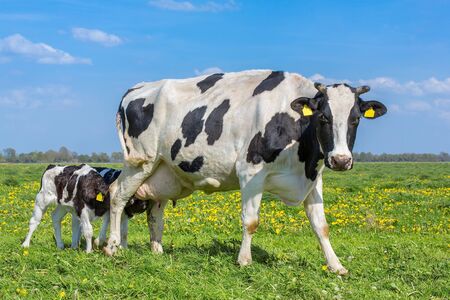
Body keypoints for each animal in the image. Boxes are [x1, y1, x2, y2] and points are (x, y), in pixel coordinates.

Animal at [104, 69, 386, 274]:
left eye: (355, 119)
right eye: (324, 118)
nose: (340, 160)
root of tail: (137, 88)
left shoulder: (313, 179)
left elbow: (321, 226)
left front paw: (336, 265)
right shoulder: (251, 172)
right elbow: (250, 221)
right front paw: (244, 260)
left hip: (164, 171)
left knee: (154, 212)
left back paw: (157, 250)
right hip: (140, 161)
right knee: (117, 195)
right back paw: (112, 246)